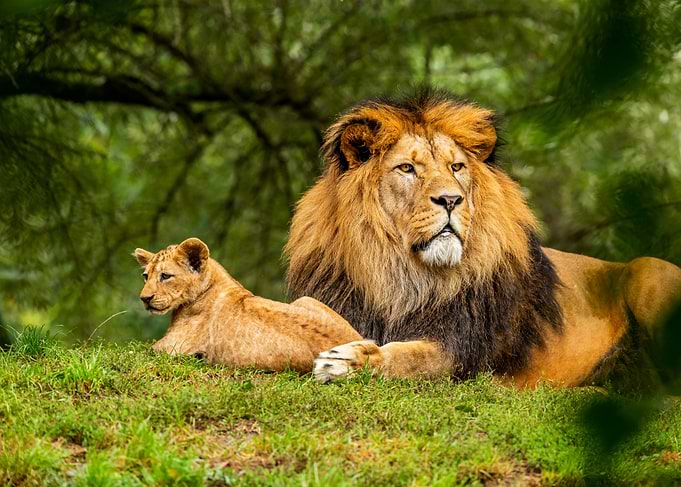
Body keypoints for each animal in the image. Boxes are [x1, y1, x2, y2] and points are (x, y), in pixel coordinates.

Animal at [133, 237, 361, 372]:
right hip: (305, 299)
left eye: (165, 276)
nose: (144, 298)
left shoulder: (171, 347)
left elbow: (140, 351)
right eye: (145, 276)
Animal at [285, 89, 681, 387]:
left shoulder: (459, 350)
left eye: (456, 167)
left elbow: (407, 357)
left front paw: (349, 360)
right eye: (407, 168)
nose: (450, 200)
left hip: (647, 271)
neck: (401, 274)